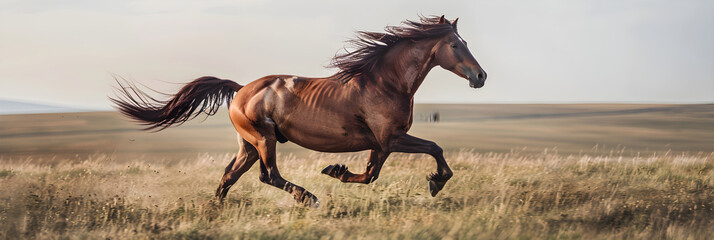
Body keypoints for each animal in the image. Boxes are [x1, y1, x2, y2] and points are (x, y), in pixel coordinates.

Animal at [111, 15, 486, 206]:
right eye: (456, 45)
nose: (480, 76)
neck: (385, 83)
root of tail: (240, 90)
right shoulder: (391, 139)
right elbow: (434, 148)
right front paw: (436, 182)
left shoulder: (381, 145)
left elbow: (369, 175)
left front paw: (337, 170)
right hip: (263, 139)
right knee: (268, 176)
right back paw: (308, 197)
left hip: (248, 145)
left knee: (229, 177)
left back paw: (216, 208)